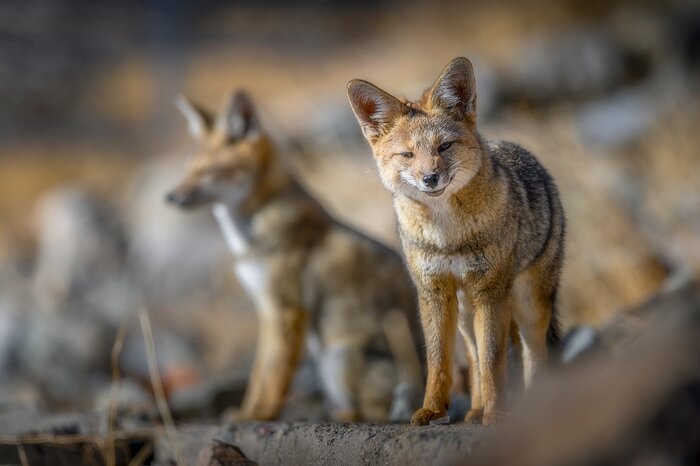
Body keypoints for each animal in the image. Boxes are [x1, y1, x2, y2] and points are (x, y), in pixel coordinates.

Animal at [167, 90, 424, 422]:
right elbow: (258, 374)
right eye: (189, 169)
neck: (247, 239)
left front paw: (259, 416)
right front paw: (247, 412)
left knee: (374, 413)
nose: (170, 197)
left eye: (208, 171)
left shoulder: (287, 310)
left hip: (338, 357)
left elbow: (274, 377)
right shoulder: (266, 309)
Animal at [348, 56, 568, 424]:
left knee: (532, 355)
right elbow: (440, 361)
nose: (430, 178)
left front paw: (497, 413)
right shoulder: (434, 293)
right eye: (407, 155)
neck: (447, 237)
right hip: (466, 312)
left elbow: (495, 362)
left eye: (444, 147)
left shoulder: (492, 292)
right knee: (475, 357)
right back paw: (475, 411)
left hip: (526, 304)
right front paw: (433, 409)